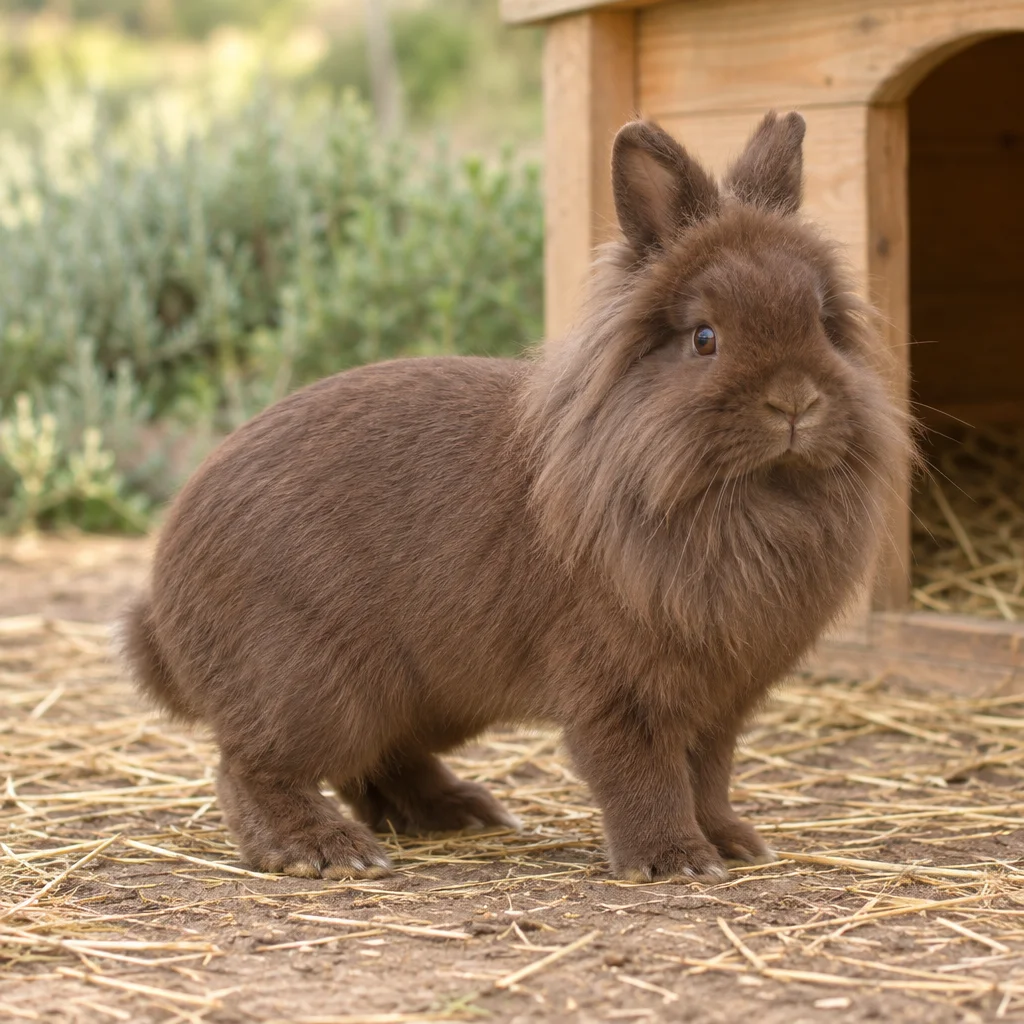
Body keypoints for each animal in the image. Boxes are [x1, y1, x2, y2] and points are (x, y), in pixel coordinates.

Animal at [121, 111, 910, 883]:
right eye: (704, 338)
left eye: (822, 324)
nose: (796, 402)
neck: (742, 498)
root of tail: (161, 609)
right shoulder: (618, 690)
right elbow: (641, 775)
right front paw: (674, 861)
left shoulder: (721, 701)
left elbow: (707, 777)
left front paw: (734, 843)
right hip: (315, 689)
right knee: (252, 769)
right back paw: (324, 850)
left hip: (422, 699)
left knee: (374, 763)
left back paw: (461, 813)